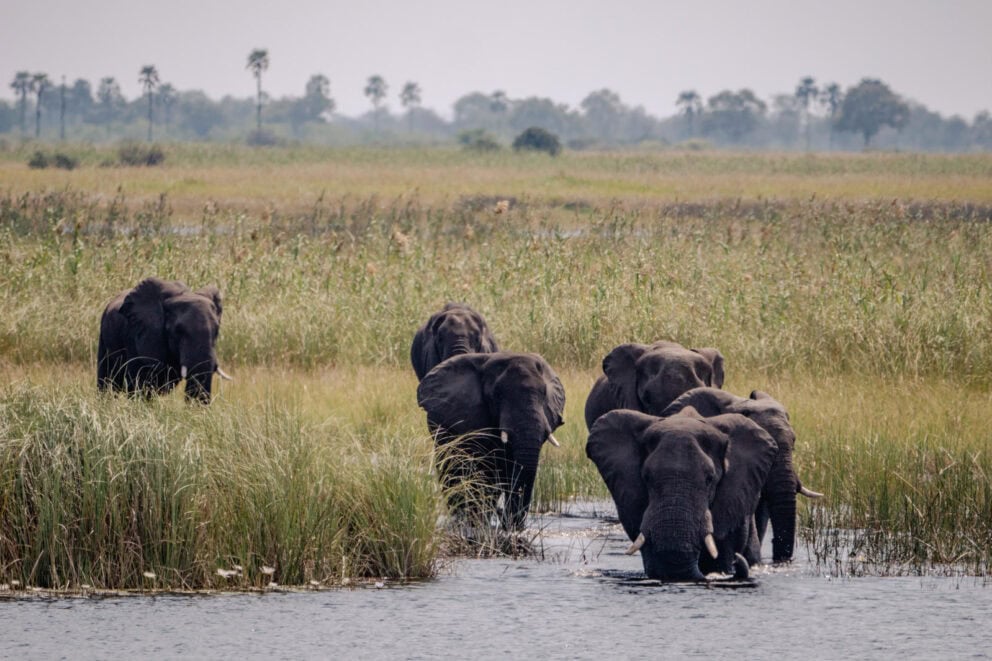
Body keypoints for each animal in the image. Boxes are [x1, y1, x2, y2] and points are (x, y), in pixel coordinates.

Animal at [416, 351, 565, 530]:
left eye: (543, 394)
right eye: (497, 395)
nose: (503, 515)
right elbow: (484, 469)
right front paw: (478, 521)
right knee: (451, 469)